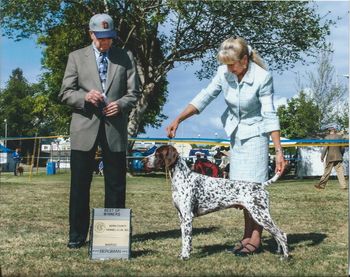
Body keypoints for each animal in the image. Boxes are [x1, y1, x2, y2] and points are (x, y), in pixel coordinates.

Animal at [144, 144, 288, 258]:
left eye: (157, 153)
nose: (144, 159)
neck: (182, 178)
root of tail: (261, 185)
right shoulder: (181, 217)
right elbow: (184, 240)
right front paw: (183, 254)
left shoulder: (188, 217)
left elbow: (187, 239)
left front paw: (185, 256)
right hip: (258, 215)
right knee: (277, 236)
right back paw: (279, 253)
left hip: (260, 215)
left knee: (282, 234)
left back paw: (285, 257)